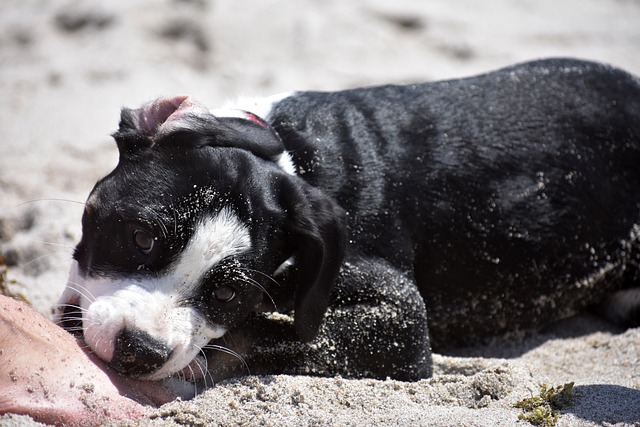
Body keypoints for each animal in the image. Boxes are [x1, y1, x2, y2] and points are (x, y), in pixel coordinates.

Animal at [56, 58, 640, 386]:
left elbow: (252, 338)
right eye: (140, 236)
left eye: (226, 294)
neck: (289, 159)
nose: (141, 350)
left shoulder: (402, 322)